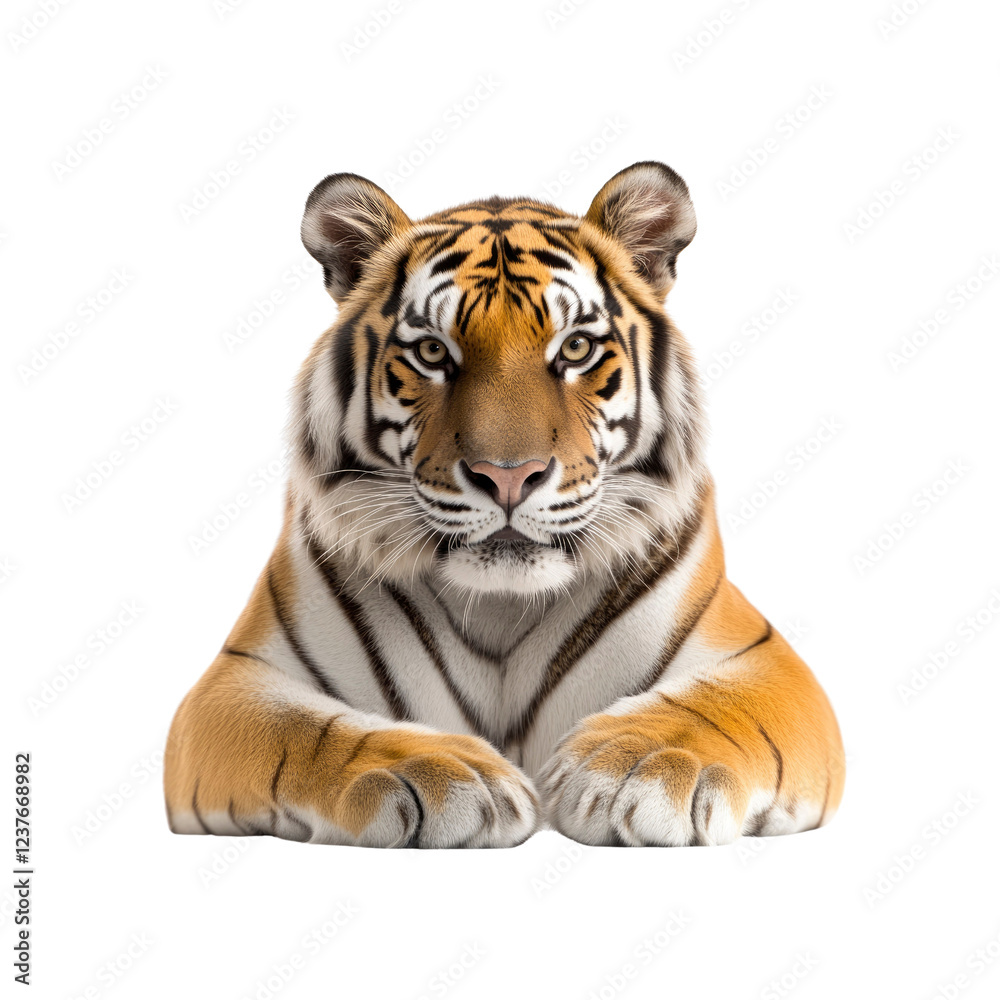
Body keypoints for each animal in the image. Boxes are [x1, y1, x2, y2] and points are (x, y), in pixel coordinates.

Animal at [164, 161, 844, 848]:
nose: (508, 477)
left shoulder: (767, 663)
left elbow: (712, 709)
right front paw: (446, 775)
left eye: (575, 349)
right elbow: (311, 731)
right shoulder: (234, 683)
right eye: (432, 352)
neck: (500, 609)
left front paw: (637, 767)